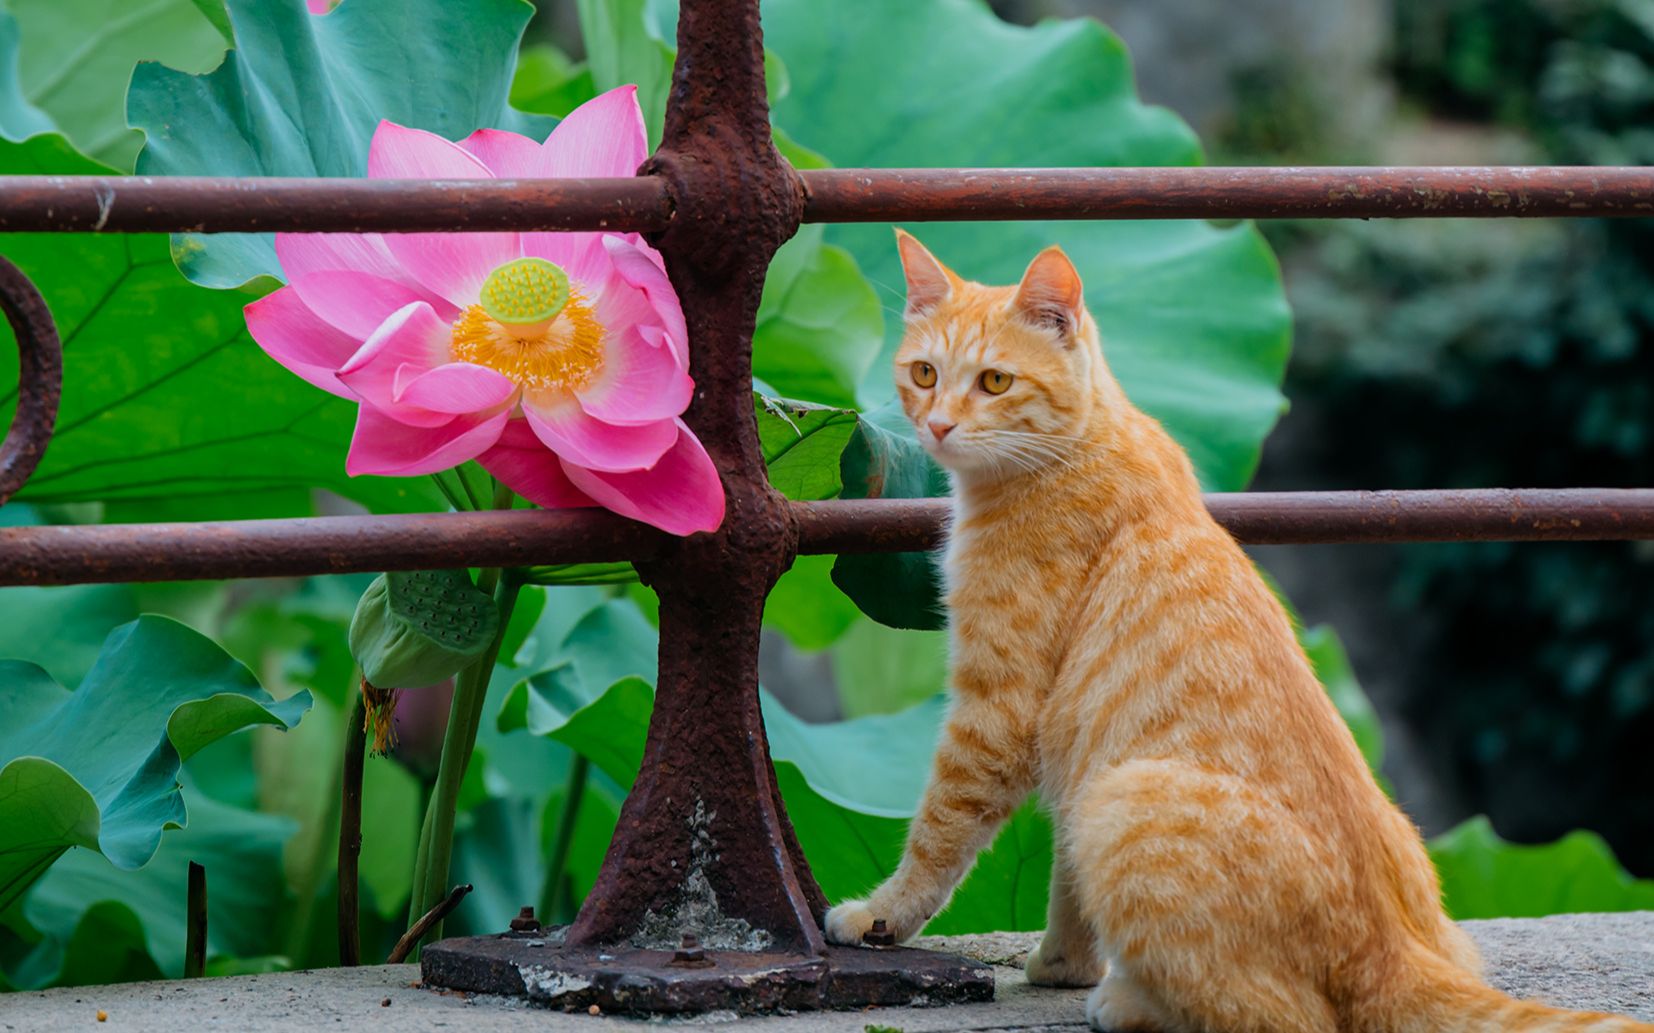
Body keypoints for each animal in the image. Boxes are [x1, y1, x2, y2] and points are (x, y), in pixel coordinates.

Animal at [827, 231, 1654, 1031]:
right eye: (925, 373)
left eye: (994, 382)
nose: (937, 424)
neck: (1087, 437)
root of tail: (1389, 952)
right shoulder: (1072, 749)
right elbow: (1065, 874)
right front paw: (1063, 962)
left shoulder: (997, 711)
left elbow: (939, 833)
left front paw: (881, 916)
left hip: (1125, 798)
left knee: (1282, 1016)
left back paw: (1131, 1002)